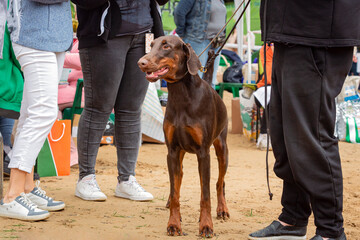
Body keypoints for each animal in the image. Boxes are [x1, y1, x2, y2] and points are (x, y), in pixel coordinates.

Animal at [136, 35, 229, 238]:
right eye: (151, 44)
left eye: (166, 46)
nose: (141, 62)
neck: (182, 96)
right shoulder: (172, 150)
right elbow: (175, 190)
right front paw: (173, 223)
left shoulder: (203, 153)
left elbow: (205, 195)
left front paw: (206, 226)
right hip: (179, 153)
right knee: (177, 182)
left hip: (222, 149)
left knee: (220, 183)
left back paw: (222, 209)